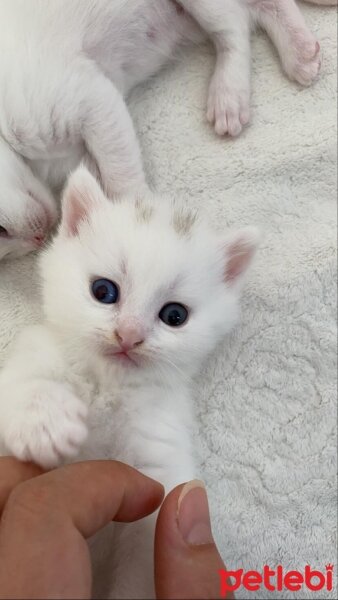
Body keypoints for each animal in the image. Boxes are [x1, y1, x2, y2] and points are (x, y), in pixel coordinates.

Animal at [0, 1, 324, 260]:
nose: (38, 239)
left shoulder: (86, 97)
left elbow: (122, 178)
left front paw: (135, 221)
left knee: (234, 24)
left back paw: (229, 93)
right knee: (258, 6)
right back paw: (300, 50)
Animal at [0, 166, 258, 596]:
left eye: (174, 315)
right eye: (103, 291)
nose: (129, 335)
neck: (109, 387)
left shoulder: (157, 463)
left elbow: (145, 547)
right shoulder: (37, 350)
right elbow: (22, 382)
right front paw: (46, 424)